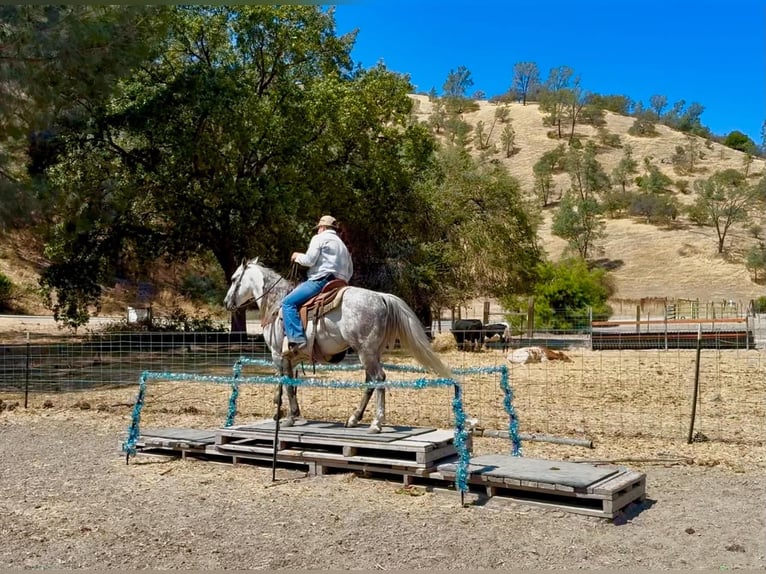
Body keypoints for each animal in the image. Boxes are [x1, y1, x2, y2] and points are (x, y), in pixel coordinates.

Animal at [223, 257, 454, 433]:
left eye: (234, 279)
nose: (226, 303)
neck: (276, 302)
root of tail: (381, 297)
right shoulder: (290, 358)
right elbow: (286, 383)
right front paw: (280, 412)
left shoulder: (278, 354)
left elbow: (286, 384)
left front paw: (289, 417)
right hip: (372, 353)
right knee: (370, 381)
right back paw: (354, 418)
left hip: (366, 351)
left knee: (379, 379)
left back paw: (376, 423)